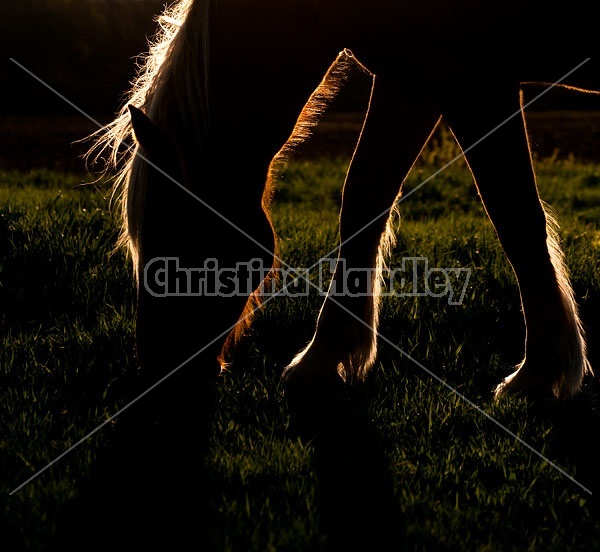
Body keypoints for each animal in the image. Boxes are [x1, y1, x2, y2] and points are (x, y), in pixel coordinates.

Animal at [85, 0, 596, 432]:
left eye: (178, 238)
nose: (157, 373)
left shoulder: (473, 83)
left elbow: (516, 219)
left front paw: (540, 372)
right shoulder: (410, 81)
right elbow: (363, 201)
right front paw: (324, 356)